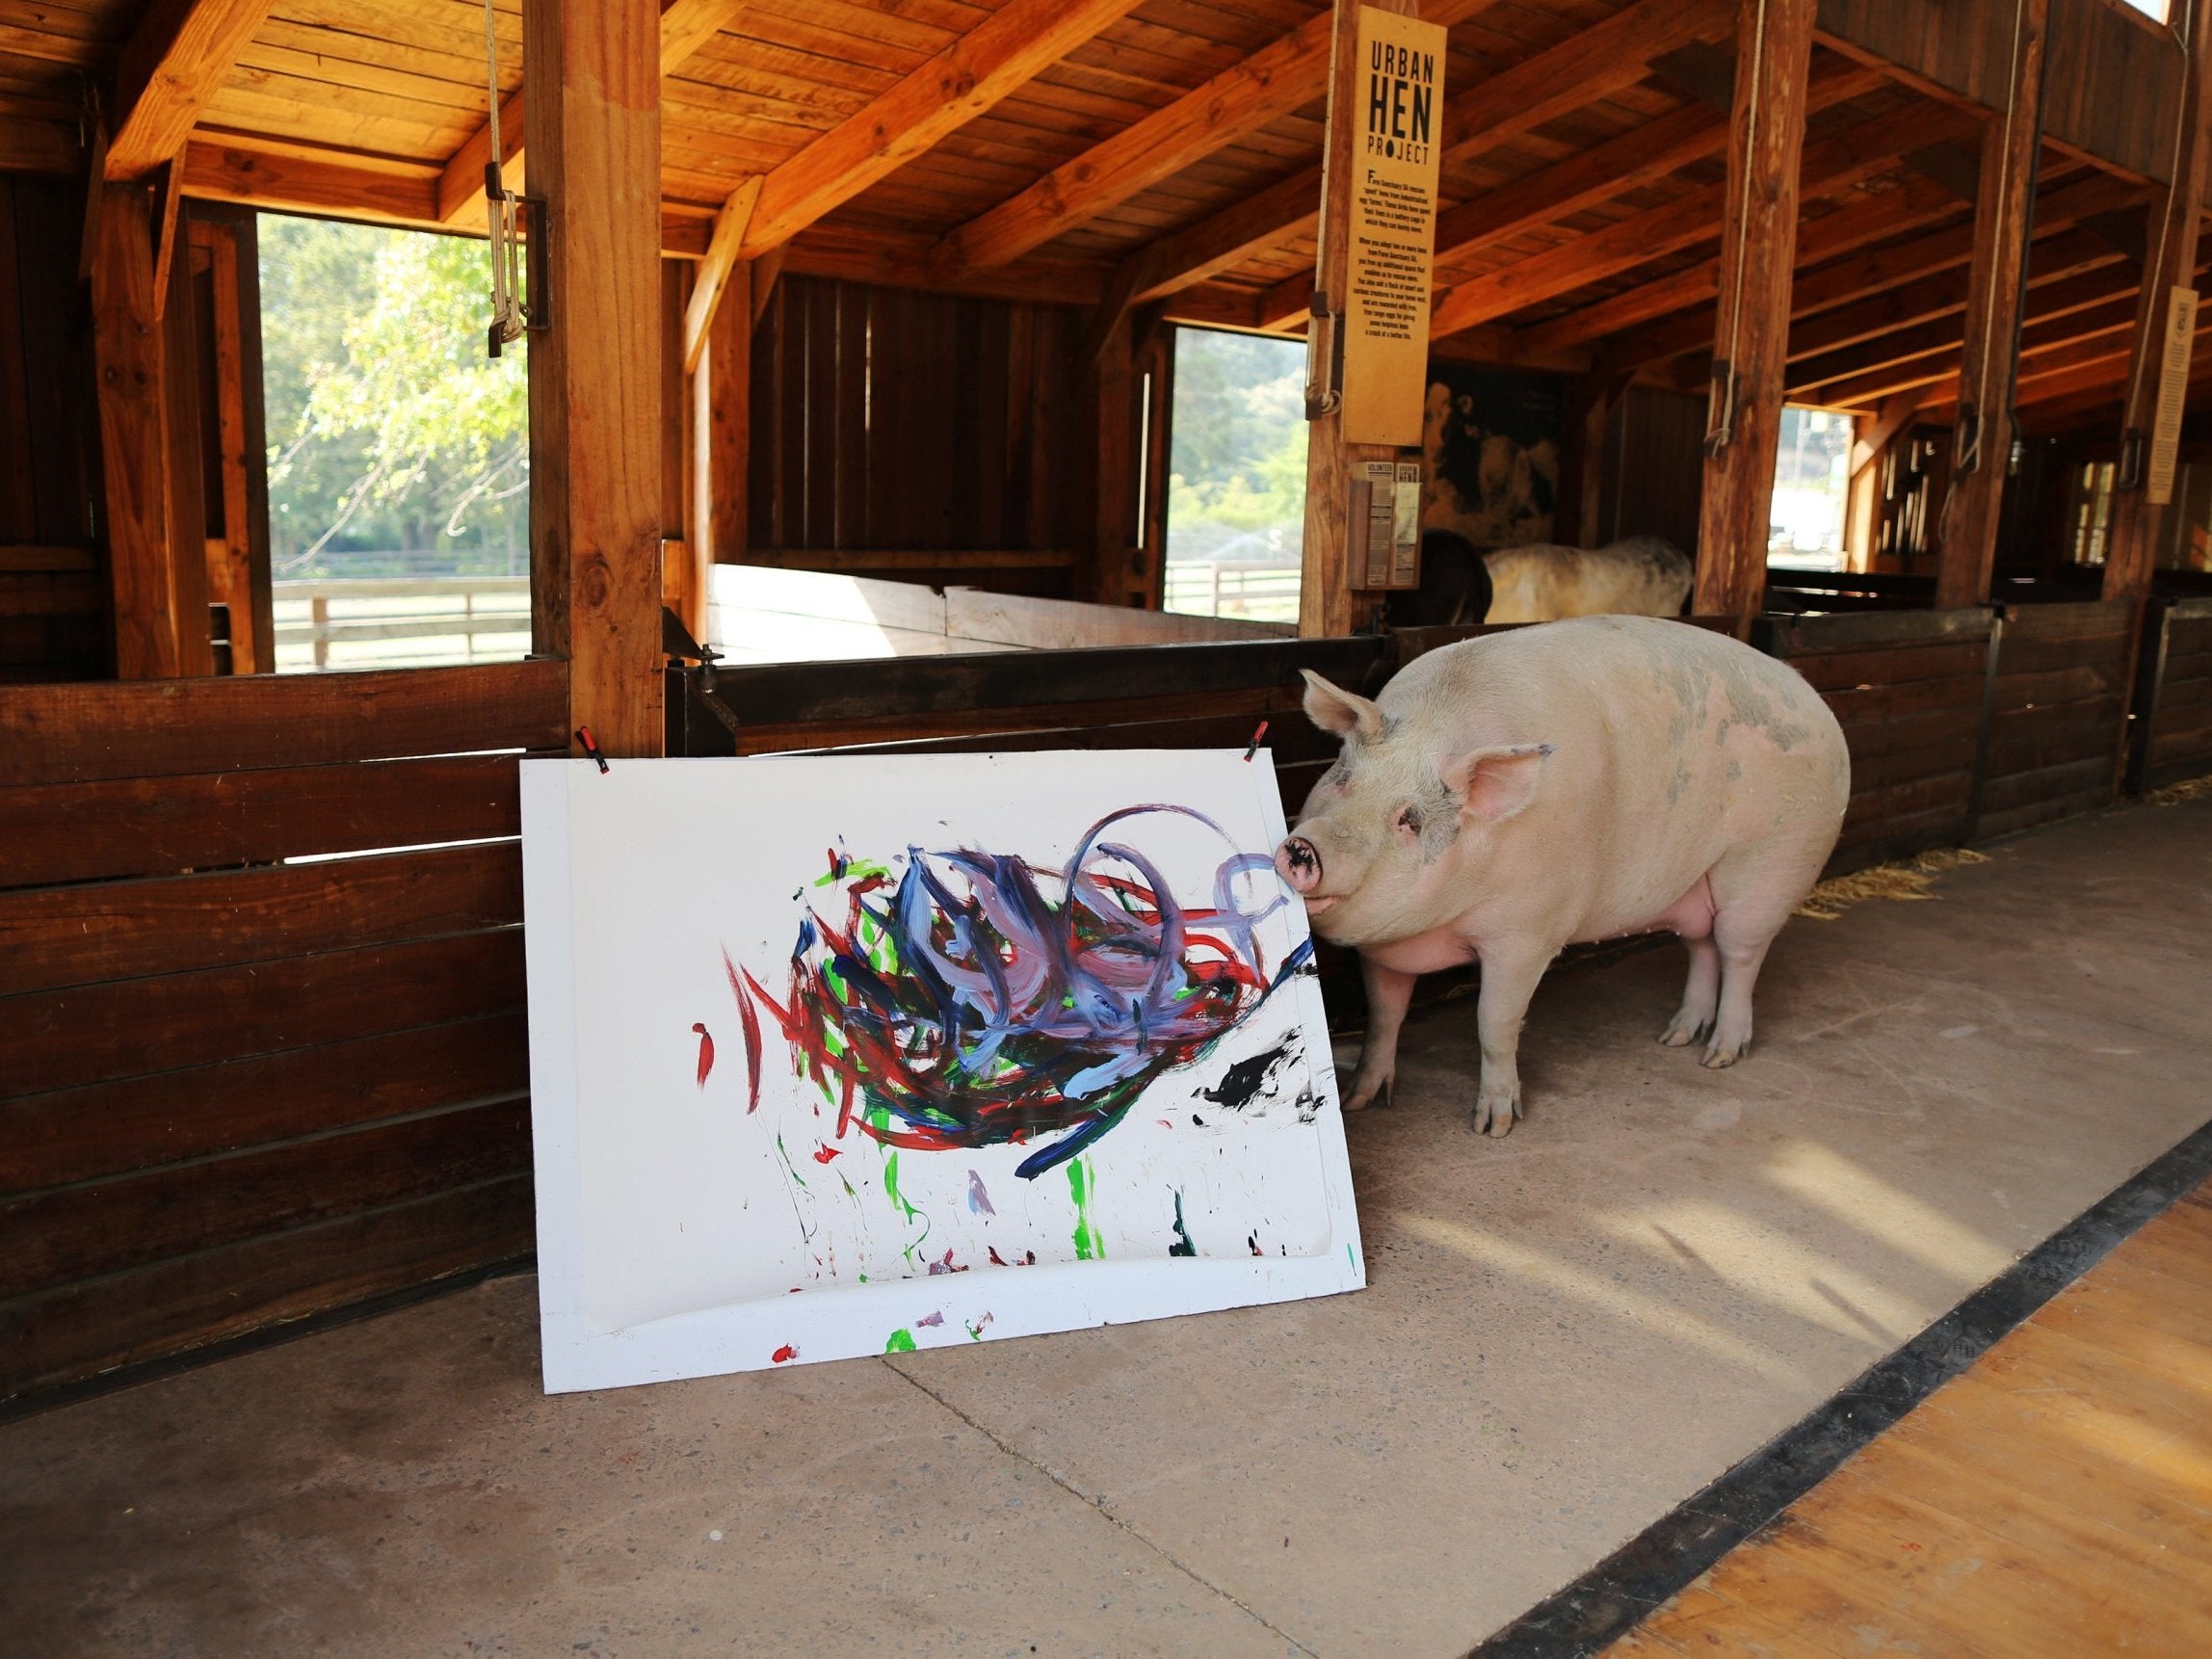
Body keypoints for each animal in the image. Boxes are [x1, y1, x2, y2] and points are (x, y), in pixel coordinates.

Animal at [1282, 619, 1849, 1141]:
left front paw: (1494, 1128)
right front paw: (1358, 1102)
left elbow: (1494, 1023)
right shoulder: (1383, 950)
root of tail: (1816, 702)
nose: (1303, 847)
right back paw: (1675, 1038)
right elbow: (1385, 1016)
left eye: (1410, 819)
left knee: (1741, 954)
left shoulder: (1529, 932)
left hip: (1770, 864)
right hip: (1695, 883)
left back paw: (1719, 1056)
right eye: (1341, 779)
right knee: (1702, 947)